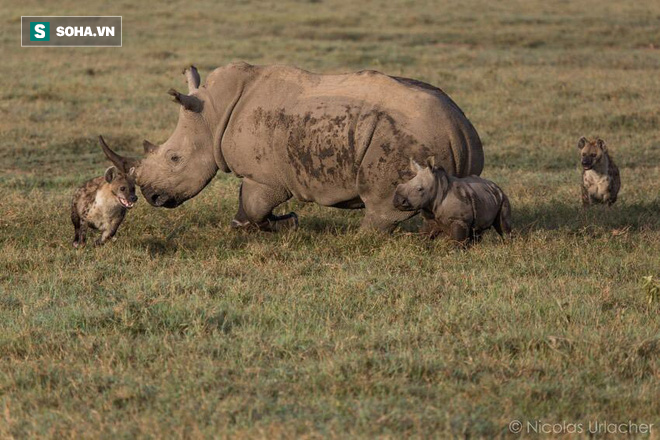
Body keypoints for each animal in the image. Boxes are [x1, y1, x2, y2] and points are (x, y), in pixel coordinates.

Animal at [100, 64, 482, 234]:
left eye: (174, 159)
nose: (151, 197)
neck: (211, 115)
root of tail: (459, 130)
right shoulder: (264, 174)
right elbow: (249, 203)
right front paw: (277, 223)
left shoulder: (264, 176)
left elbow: (253, 205)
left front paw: (269, 224)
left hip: (399, 141)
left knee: (382, 204)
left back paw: (359, 239)